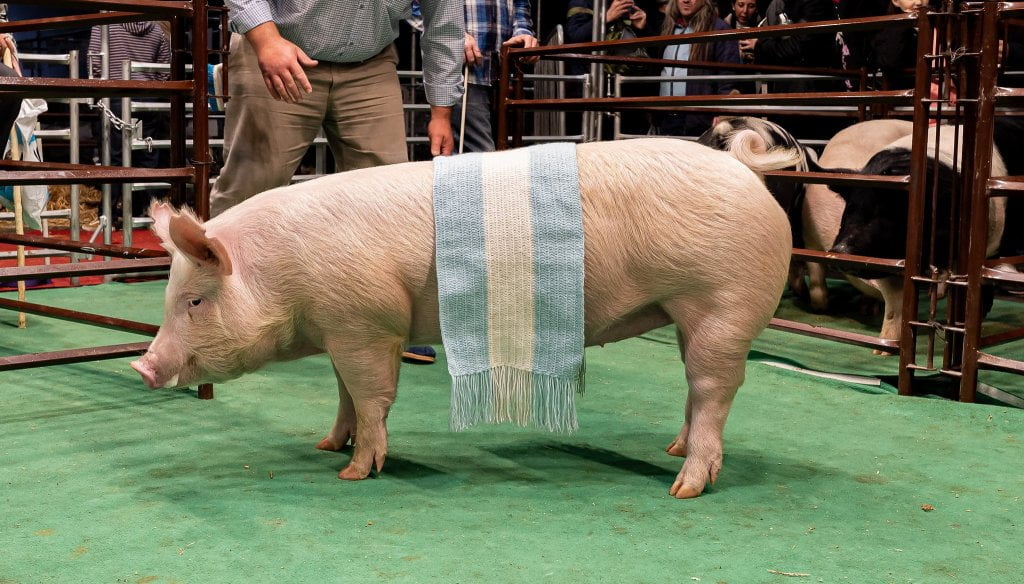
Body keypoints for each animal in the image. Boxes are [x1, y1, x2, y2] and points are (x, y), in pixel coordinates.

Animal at [131, 138, 794, 499]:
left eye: (194, 301)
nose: (143, 367)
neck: (284, 277)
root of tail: (746, 171)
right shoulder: (344, 327)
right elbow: (345, 395)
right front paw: (326, 445)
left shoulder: (367, 323)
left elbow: (371, 397)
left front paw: (353, 474)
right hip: (687, 315)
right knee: (695, 389)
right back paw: (670, 448)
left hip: (724, 304)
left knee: (714, 387)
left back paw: (684, 486)